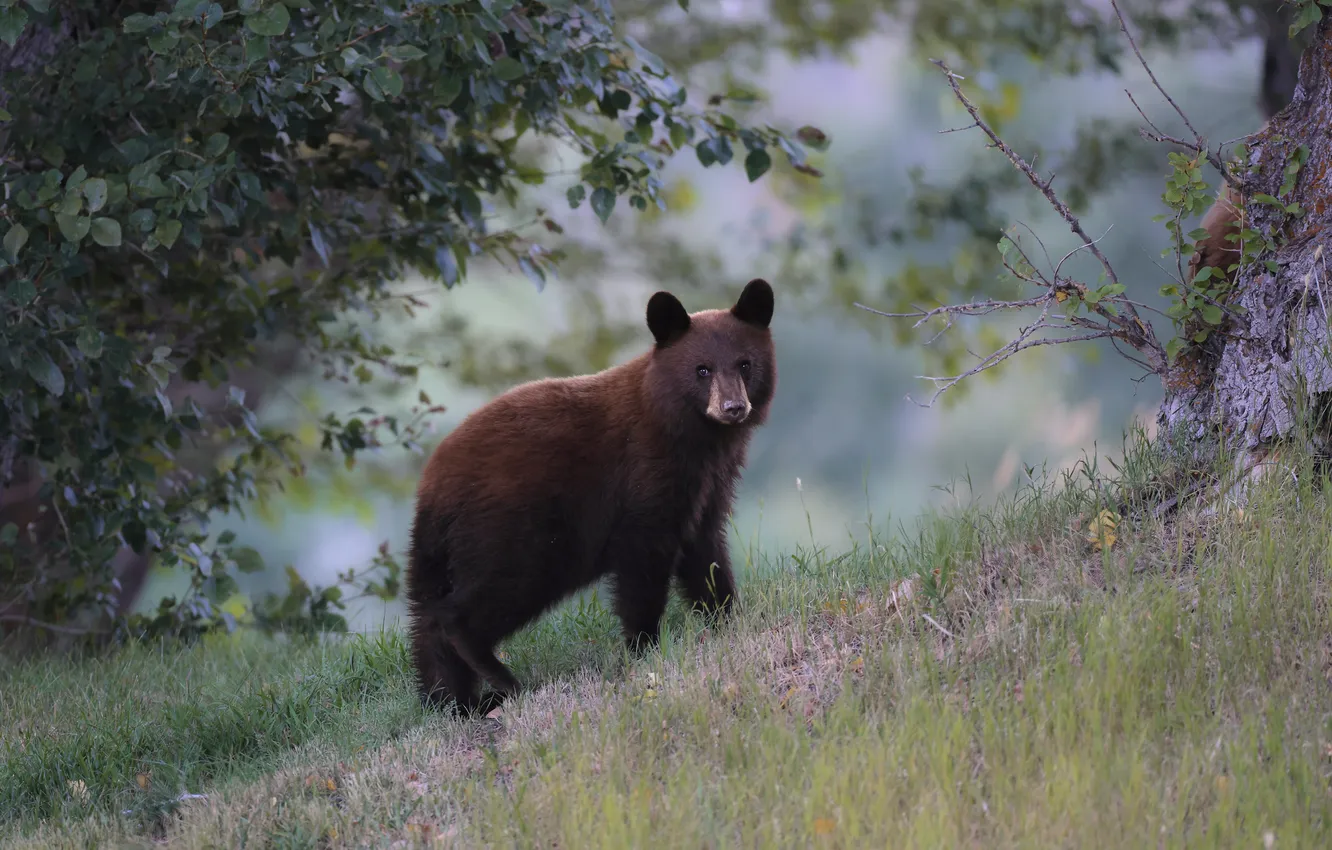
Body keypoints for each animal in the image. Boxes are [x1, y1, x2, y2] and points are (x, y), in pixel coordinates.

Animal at [406, 278, 778, 714]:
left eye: (745, 364)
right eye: (702, 369)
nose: (733, 407)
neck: (691, 436)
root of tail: (431, 491)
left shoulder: (707, 486)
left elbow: (705, 553)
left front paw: (727, 618)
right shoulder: (644, 478)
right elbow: (643, 565)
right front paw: (643, 648)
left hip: (438, 556)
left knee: (426, 619)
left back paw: (453, 700)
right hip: (513, 533)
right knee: (473, 604)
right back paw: (499, 677)